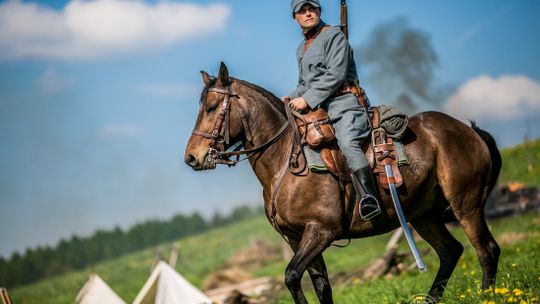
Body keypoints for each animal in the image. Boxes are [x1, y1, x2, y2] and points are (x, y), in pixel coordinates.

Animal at [186, 63, 502, 302]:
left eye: (212, 107)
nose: (192, 156)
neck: (285, 162)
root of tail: (468, 130)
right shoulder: (297, 238)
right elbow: (320, 285)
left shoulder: (320, 232)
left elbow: (291, 276)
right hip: (424, 216)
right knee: (451, 252)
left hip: (466, 206)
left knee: (486, 250)